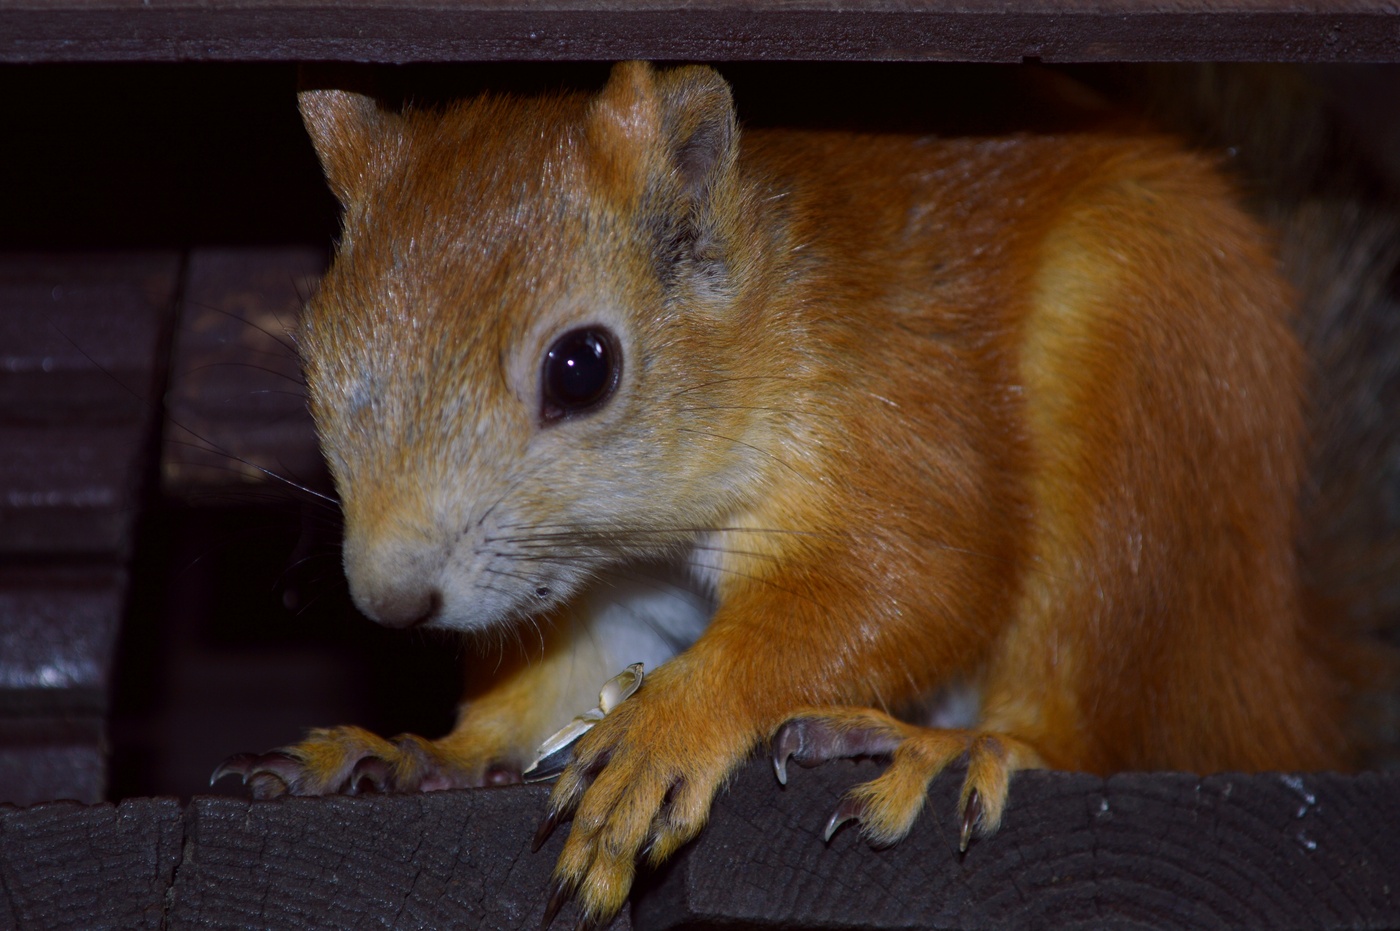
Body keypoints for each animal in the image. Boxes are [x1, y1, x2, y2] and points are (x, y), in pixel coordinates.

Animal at [214, 61, 1398, 926]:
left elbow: (909, 580)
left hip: (1142, 416)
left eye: (582, 367)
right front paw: (423, 750)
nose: (390, 599)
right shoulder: (590, 600)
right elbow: (544, 694)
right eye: (316, 350)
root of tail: (1279, 672)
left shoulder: (890, 417)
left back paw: (949, 743)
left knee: (1082, 702)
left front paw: (670, 726)